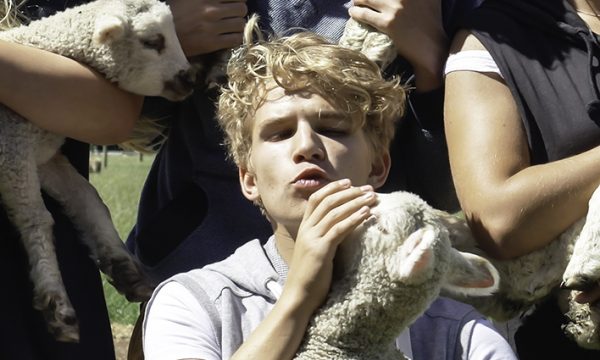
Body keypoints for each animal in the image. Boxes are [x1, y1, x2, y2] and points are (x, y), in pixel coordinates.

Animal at [0, 0, 193, 344]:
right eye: (152, 42)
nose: (190, 79)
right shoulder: (13, 145)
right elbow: (37, 219)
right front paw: (57, 305)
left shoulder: (44, 155)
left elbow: (89, 200)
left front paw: (125, 270)